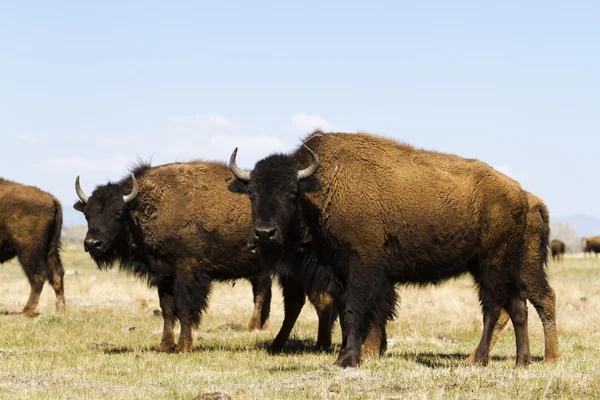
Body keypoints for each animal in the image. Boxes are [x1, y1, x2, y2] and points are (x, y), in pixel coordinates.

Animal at [0, 179, 65, 316]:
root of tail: (53, 200)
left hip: (27, 250)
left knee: (38, 275)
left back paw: (26, 311)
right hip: (50, 247)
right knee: (57, 273)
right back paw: (60, 310)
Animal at [73, 162, 336, 354]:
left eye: (117, 213)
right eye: (87, 214)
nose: (92, 243)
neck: (149, 206)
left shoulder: (187, 271)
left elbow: (185, 307)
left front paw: (183, 347)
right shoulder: (164, 275)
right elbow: (167, 310)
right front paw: (164, 346)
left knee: (316, 300)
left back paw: (315, 345)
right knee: (300, 303)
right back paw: (287, 344)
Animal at [229, 131, 528, 366]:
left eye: (292, 192)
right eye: (252, 193)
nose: (264, 233)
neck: (326, 187)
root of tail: (519, 193)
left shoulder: (362, 267)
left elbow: (355, 312)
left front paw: (347, 360)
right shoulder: (340, 272)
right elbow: (348, 313)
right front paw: (350, 354)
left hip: (491, 265)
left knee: (492, 309)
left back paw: (478, 360)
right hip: (502, 268)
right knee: (517, 307)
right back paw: (521, 361)